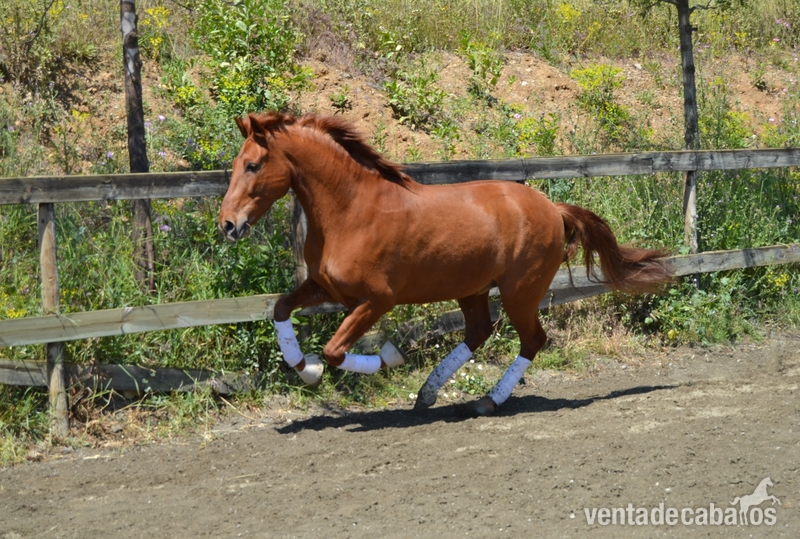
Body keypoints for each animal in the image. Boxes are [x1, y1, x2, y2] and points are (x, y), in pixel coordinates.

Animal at [219, 112, 673, 416]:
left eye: (253, 165)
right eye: (236, 164)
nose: (228, 224)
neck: (350, 211)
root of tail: (553, 208)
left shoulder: (376, 300)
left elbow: (335, 350)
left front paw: (388, 358)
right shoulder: (325, 288)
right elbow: (280, 309)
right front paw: (306, 369)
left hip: (520, 291)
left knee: (532, 339)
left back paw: (488, 400)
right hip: (473, 289)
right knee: (478, 332)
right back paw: (429, 393)